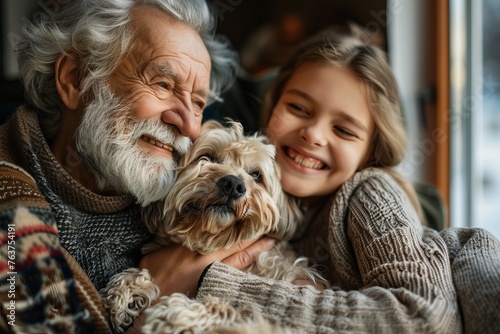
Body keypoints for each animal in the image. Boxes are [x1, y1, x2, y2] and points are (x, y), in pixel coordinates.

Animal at [101, 120, 328, 334]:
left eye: (256, 175)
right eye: (207, 157)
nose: (233, 184)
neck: (210, 240)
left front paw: (177, 314)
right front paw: (127, 291)